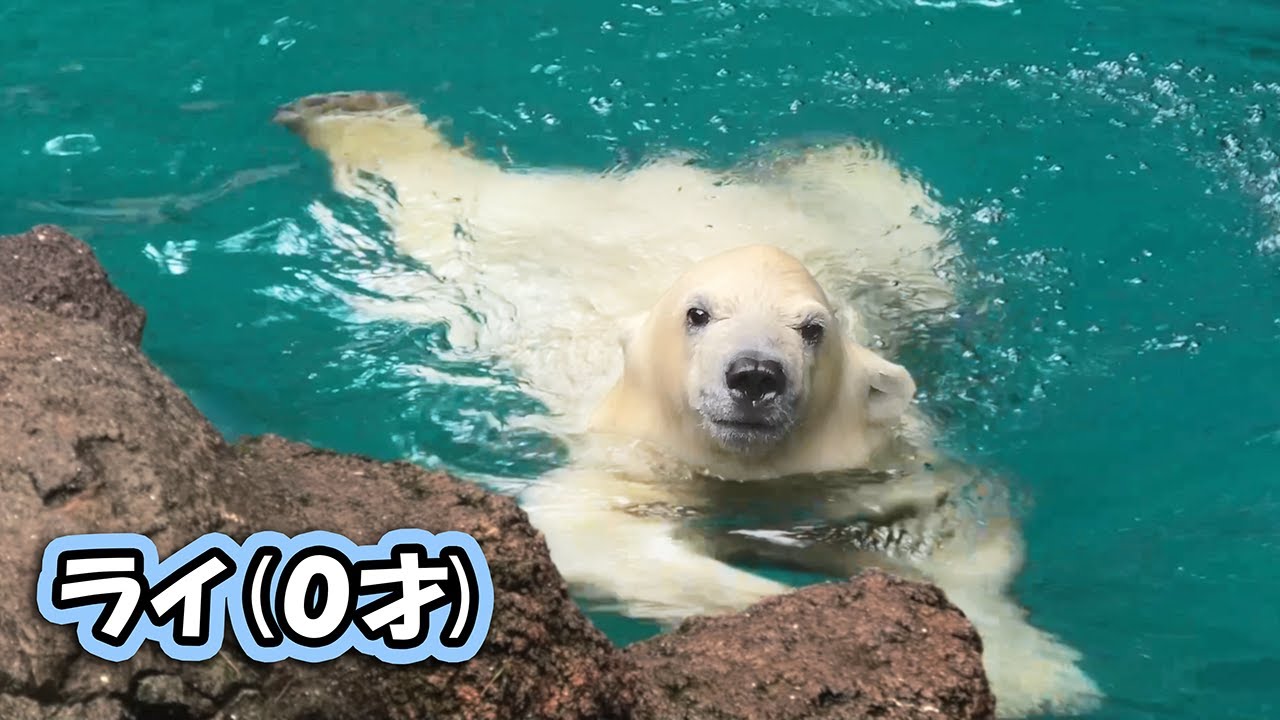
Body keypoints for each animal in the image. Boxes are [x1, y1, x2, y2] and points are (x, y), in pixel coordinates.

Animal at [274, 91, 1102, 718]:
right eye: (698, 314)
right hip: (488, 240)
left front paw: (1029, 669)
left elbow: (951, 527)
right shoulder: (636, 460)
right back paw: (348, 112)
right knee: (438, 193)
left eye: (812, 328)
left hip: (876, 239)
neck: (747, 475)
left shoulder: (870, 463)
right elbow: (587, 534)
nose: (755, 375)